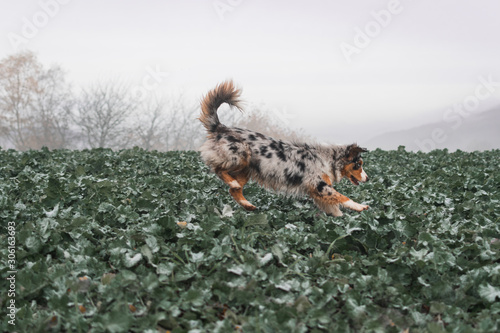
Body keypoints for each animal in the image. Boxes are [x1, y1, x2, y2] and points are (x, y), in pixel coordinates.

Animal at [200, 80, 372, 215]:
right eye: (358, 165)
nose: (368, 178)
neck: (327, 159)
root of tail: (221, 127)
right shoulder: (318, 185)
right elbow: (342, 196)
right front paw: (360, 206)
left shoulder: (318, 191)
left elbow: (334, 207)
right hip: (241, 155)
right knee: (218, 169)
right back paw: (233, 183)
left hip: (246, 169)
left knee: (233, 190)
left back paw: (247, 204)